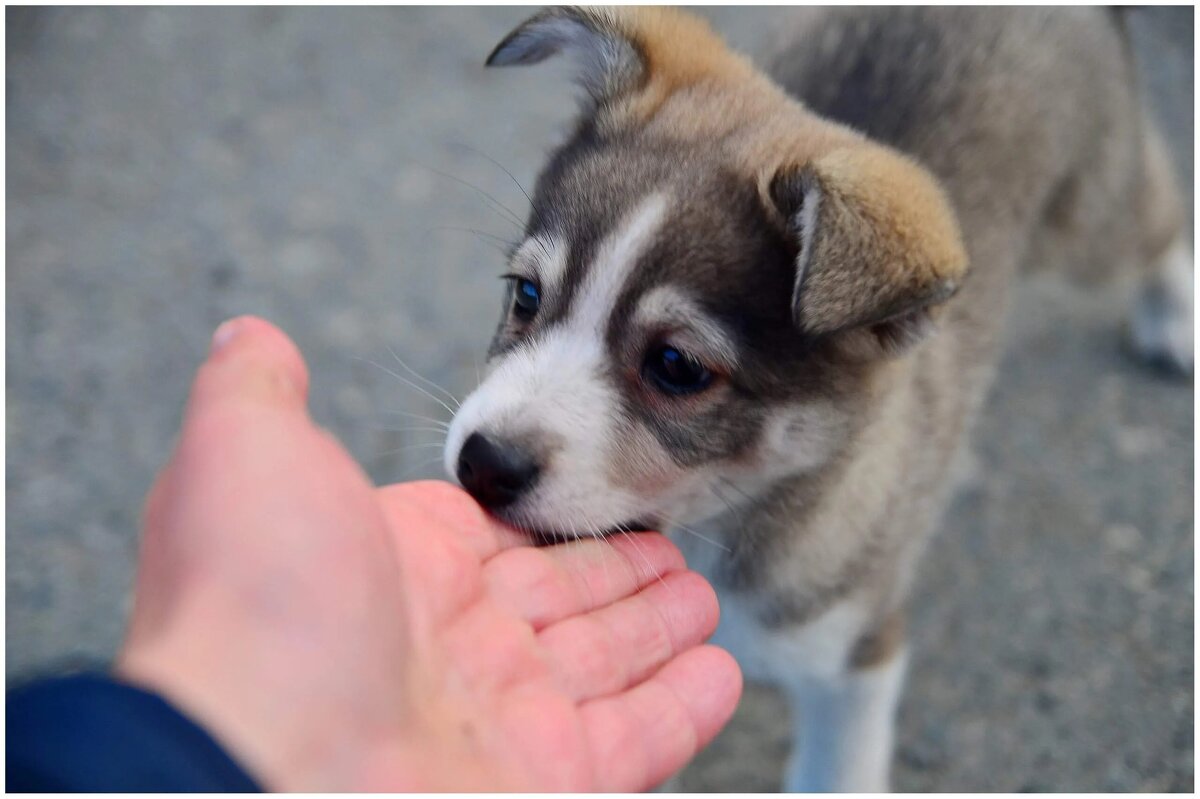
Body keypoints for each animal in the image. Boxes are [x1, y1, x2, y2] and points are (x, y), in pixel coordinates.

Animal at [441, 7, 1190, 791]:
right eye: (526, 294)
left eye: (676, 365)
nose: (482, 464)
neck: (721, 524)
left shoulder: (858, 652)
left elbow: (840, 767)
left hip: (1091, 214)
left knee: (1159, 210)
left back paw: (1174, 314)